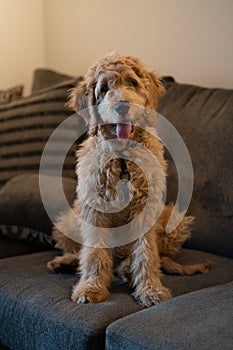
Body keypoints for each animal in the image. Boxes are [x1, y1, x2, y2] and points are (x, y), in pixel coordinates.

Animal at [47, 51, 211, 306]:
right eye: (104, 88)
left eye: (132, 83)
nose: (122, 106)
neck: (122, 156)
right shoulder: (94, 208)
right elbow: (94, 252)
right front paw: (91, 287)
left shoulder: (146, 207)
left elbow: (146, 253)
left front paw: (151, 289)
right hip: (68, 220)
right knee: (87, 252)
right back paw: (66, 262)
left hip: (174, 217)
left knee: (148, 256)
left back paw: (126, 270)